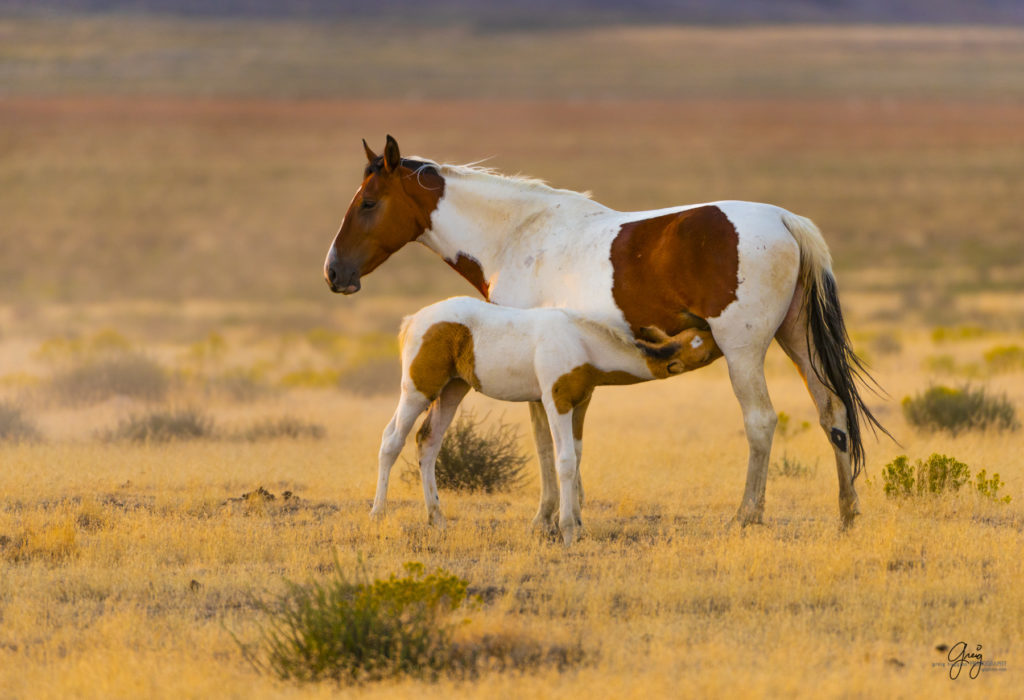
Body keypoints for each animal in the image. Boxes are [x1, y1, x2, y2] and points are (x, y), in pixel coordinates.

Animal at [370, 294, 720, 548]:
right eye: (700, 346)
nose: (718, 335)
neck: (580, 340)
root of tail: (413, 320)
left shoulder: (580, 404)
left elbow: (577, 457)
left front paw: (578, 524)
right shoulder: (556, 402)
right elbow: (564, 461)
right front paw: (567, 531)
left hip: (453, 390)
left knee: (428, 442)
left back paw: (437, 519)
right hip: (417, 391)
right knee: (391, 440)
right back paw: (377, 515)